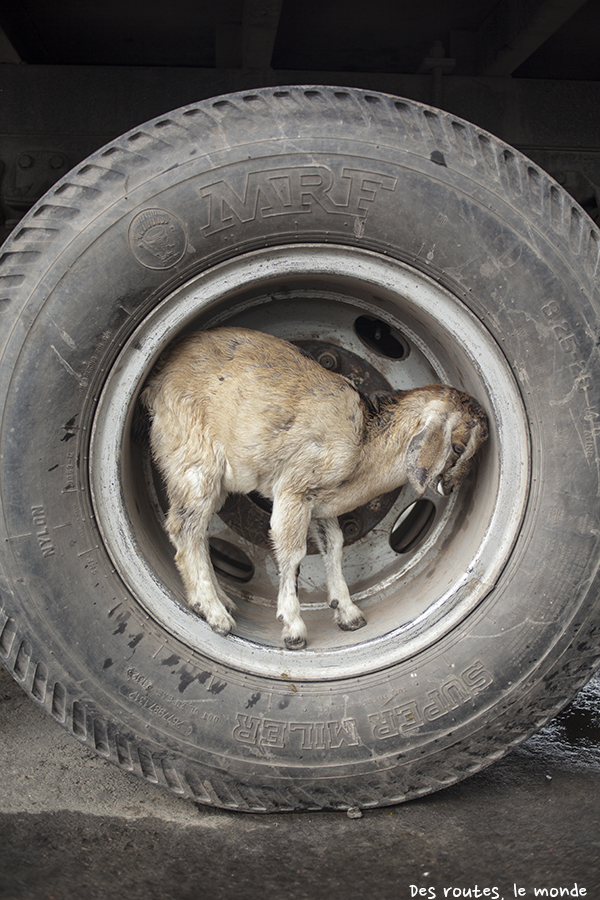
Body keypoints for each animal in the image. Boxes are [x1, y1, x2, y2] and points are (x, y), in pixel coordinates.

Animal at [141, 326, 488, 652]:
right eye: (458, 447)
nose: (451, 487)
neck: (365, 443)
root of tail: (158, 380)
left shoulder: (320, 504)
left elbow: (334, 545)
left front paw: (348, 612)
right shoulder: (294, 490)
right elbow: (292, 553)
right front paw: (293, 628)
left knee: (198, 534)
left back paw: (221, 601)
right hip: (196, 462)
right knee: (184, 529)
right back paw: (215, 614)